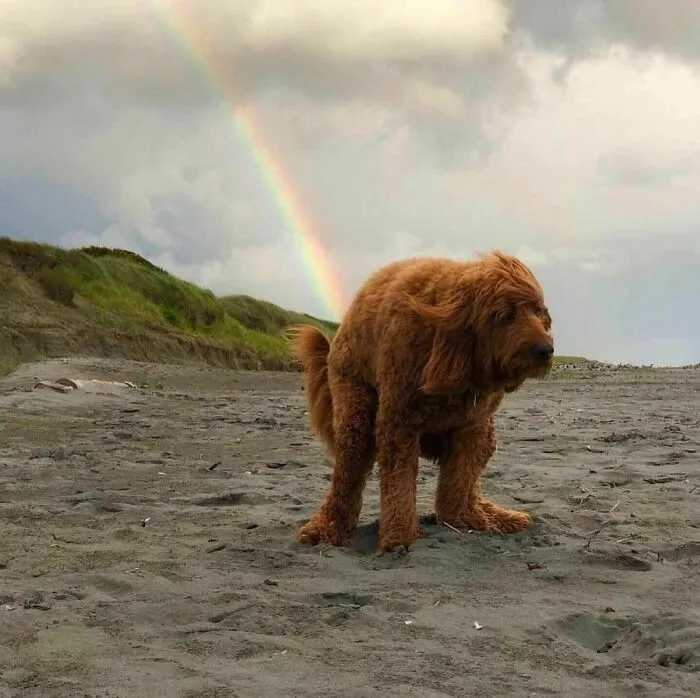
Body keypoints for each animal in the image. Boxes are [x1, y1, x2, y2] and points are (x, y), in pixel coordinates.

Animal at [288, 251, 552, 556]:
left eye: (537, 310)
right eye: (503, 315)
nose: (546, 350)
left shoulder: (471, 425)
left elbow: (460, 478)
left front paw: (461, 519)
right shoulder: (398, 422)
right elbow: (399, 481)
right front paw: (399, 537)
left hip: (485, 433)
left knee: (470, 480)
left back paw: (487, 515)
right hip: (354, 404)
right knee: (349, 469)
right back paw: (326, 528)